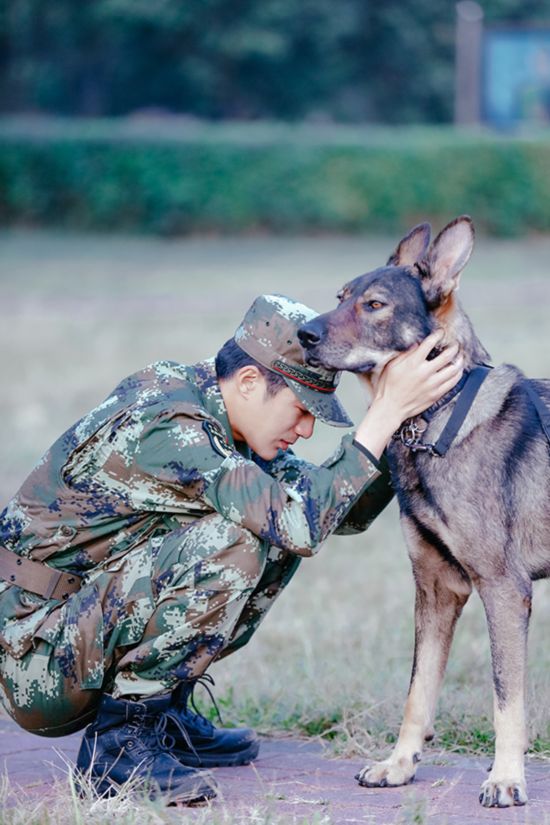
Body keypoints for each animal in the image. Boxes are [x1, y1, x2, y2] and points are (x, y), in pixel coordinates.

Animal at [298, 216, 550, 808]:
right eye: (340, 297)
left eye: (374, 305)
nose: (303, 335)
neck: (437, 417)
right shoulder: (438, 590)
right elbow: (418, 691)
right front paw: (398, 766)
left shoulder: (504, 590)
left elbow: (507, 697)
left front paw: (505, 778)